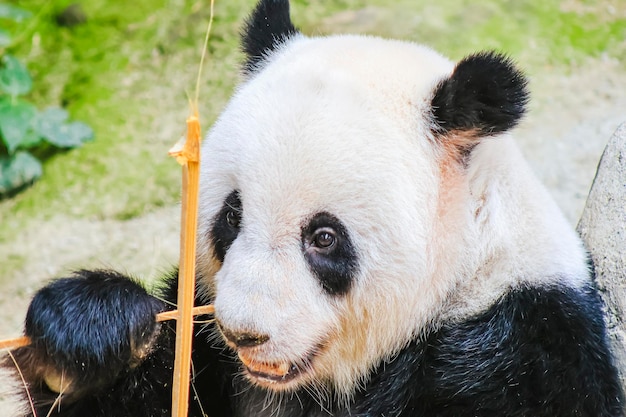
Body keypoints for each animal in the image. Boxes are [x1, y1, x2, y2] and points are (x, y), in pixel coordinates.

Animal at [6, 0, 624, 416]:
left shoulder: (522, 347)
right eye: (232, 216)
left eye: (323, 237)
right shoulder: (211, 358)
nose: (244, 334)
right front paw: (90, 330)